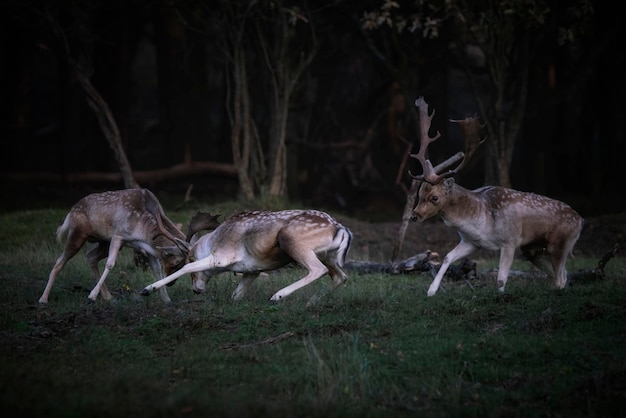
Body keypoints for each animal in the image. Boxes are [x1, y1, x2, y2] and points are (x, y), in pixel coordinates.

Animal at [39, 189, 195, 304]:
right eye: (177, 261)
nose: (171, 283)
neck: (141, 230)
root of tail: (70, 212)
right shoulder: (118, 235)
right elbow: (110, 264)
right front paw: (91, 296)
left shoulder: (148, 246)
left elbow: (157, 269)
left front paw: (166, 299)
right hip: (77, 234)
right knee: (60, 261)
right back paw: (43, 299)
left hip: (102, 241)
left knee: (90, 256)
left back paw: (108, 296)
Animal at [140, 211, 352, 306]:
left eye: (189, 258)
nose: (196, 290)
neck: (213, 242)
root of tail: (342, 229)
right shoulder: (252, 270)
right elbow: (236, 295)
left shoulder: (222, 257)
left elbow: (187, 269)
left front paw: (147, 289)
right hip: (328, 256)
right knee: (341, 276)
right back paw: (311, 302)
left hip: (293, 241)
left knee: (317, 270)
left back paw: (277, 295)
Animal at [408, 96, 584, 296]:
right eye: (420, 193)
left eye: (435, 197)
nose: (414, 216)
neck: (480, 221)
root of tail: (581, 221)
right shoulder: (471, 242)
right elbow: (447, 257)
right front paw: (431, 291)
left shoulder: (510, 240)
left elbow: (501, 279)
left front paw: (501, 297)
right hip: (533, 249)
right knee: (561, 275)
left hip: (560, 243)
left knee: (561, 276)